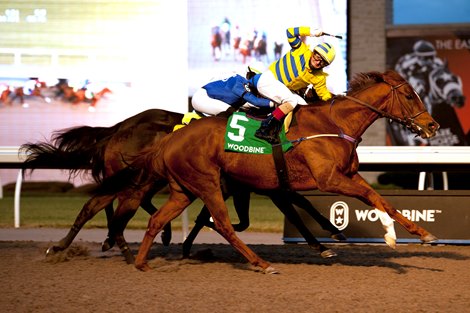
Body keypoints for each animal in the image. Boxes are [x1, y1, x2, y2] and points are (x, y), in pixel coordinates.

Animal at [99, 69, 440, 272]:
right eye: (409, 95)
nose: (431, 125)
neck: (334, 123)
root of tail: (171, 137)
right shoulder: (328, 179)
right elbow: (372, 198)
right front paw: (415, 235)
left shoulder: (344, 176)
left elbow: (379, 199)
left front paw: (400, 236)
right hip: (207, 183)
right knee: (222, 223)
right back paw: (260, 263)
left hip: (183, 189)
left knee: (157, 218)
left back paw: (141, 262)